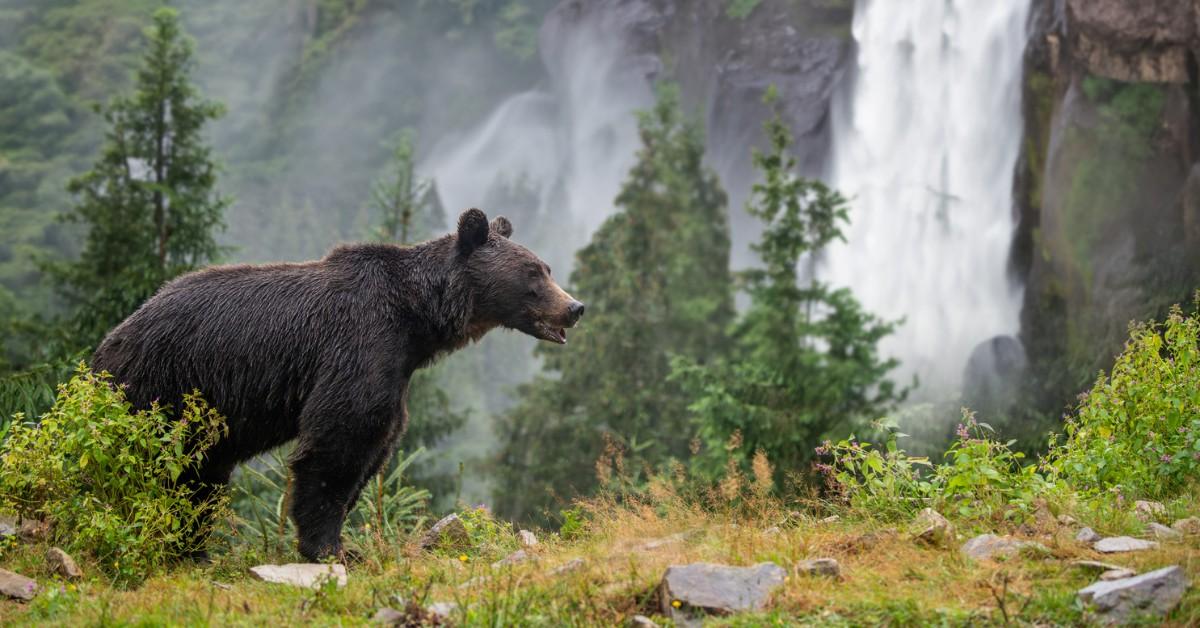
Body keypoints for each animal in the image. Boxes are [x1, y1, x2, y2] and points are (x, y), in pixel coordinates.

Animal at [92, 210, 580, 559]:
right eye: (533, 273)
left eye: (546, 268)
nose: (575, 307)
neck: (418, 321)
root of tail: (111, 341)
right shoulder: (359, 343)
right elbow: (340, 440)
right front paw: (331, 548)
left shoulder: (396, 368)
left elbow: (376, 444)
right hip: (161, 387)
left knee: (200, 474)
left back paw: (192, 550)